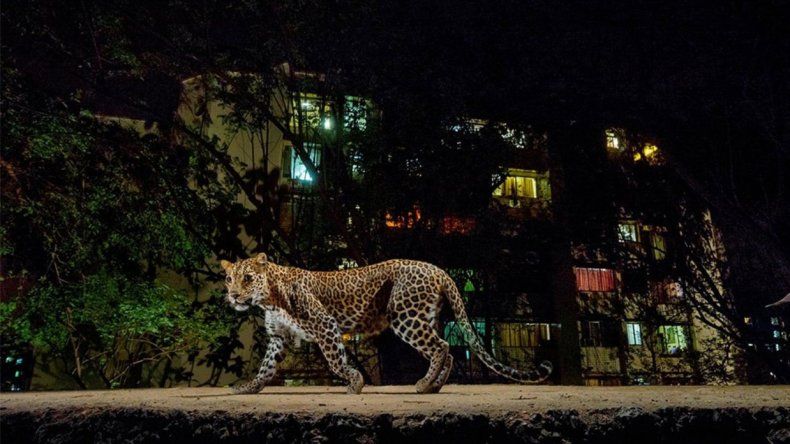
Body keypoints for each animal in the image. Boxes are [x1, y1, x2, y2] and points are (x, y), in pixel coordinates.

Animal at [221, 253, 552, 394]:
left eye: (247, 278)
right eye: (228, 278)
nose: (233, 295)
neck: (269, 299)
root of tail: (439, 270)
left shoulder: (325, 324)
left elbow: (335, 361)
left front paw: (355, 382)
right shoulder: (278, 338)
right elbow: (266, 367)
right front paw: (249, 388)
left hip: (405, 316)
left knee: (441, 346)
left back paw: (424, 384)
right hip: (424, 316)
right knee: (447, 349)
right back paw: (434, 386)